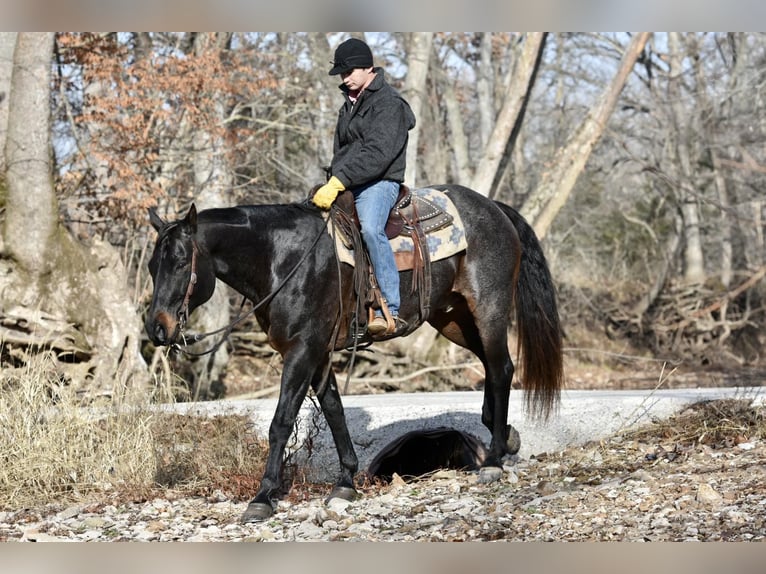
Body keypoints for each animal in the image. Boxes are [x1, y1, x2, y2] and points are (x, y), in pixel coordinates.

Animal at [146, 183, 564, 520]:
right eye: (152, 266)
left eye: (180, 262)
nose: (156, 328)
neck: (282, 257)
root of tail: (494, 207)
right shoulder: (317, 351)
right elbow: (334, 410)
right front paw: (346, 480)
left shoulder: (302, 348)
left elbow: (281, 421)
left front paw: (263, 497)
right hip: (454, 320)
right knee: (494, 368)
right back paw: (502, 436)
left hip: (488, 310)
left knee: (501, 368)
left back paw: (492, 459)